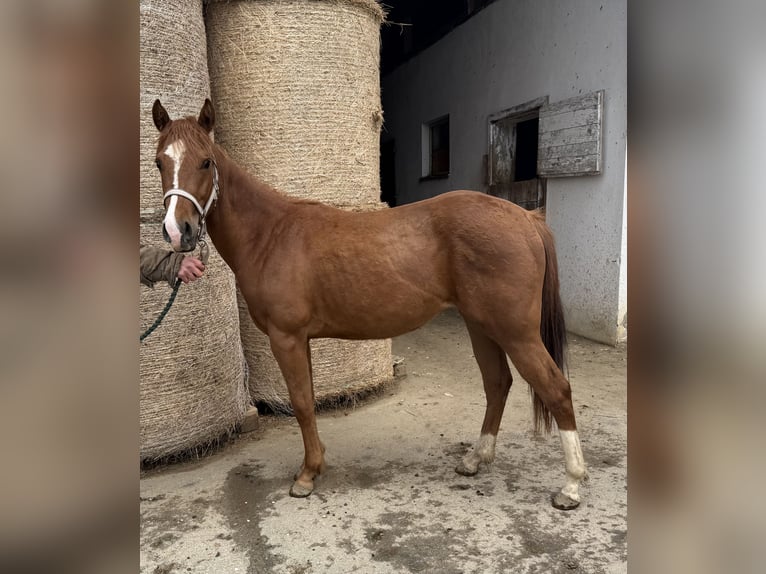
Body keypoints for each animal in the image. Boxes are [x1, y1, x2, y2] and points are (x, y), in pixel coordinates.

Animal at [151, 98, 587, 510]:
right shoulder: (299, 340)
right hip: (482, 326)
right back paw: (475, 459)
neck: (270, 235)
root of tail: (526, 218)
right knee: (497, 384)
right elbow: (307, 401)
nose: (178, 230)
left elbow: (302, 403)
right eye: (159, 161)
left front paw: (306, 476)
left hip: (516, 333)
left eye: (206, 161)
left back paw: (571, 486)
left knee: (556, 388)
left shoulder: (286, 338)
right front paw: (316, 464)